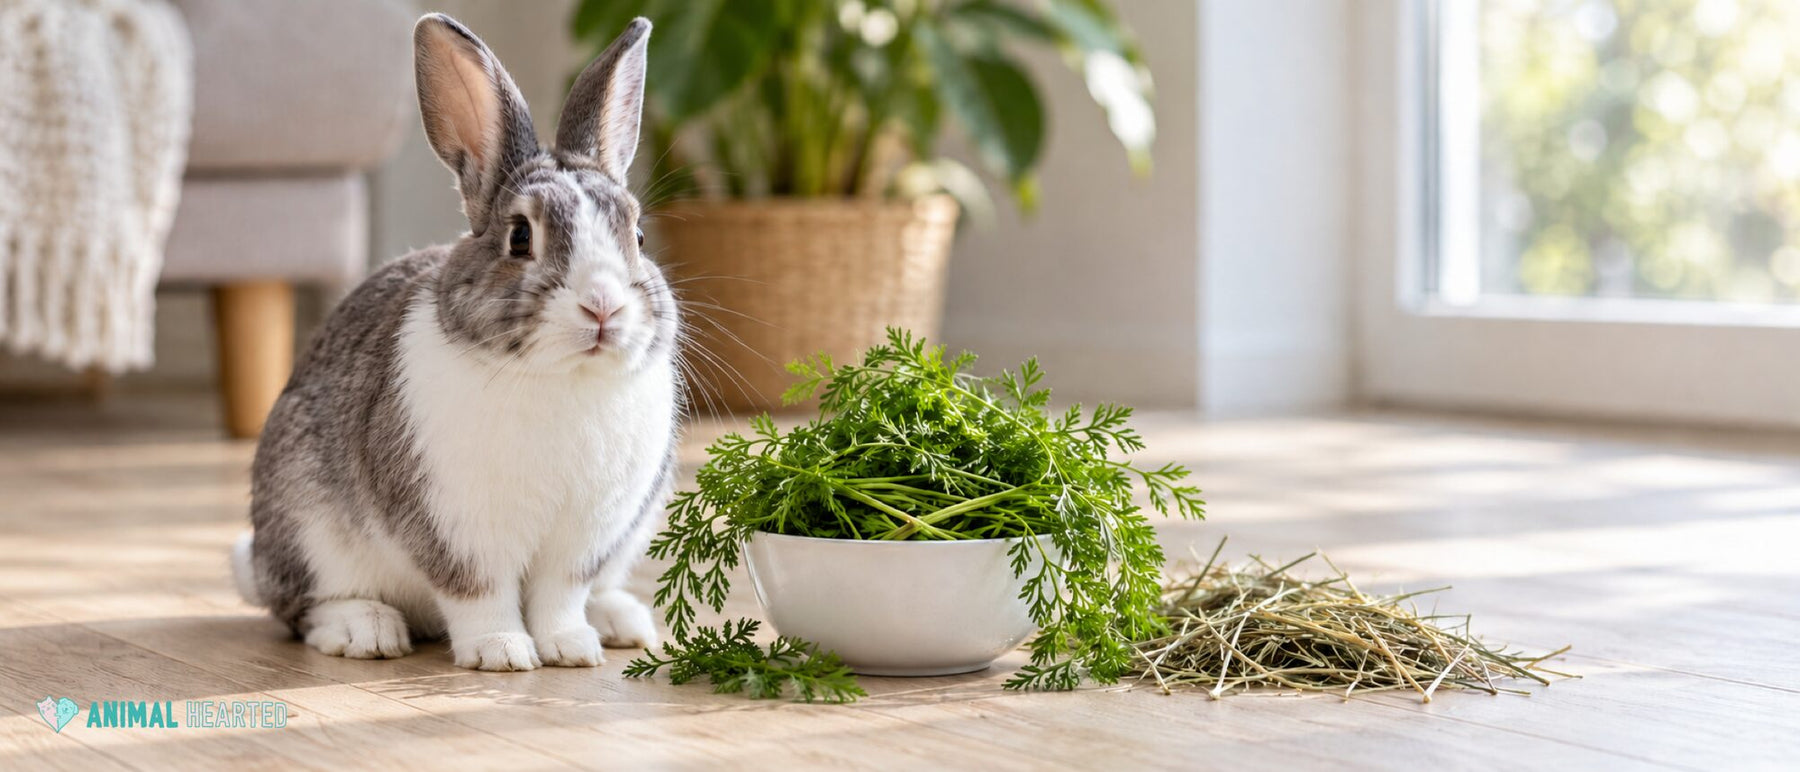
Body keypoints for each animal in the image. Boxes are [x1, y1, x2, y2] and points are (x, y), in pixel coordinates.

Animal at [227, 14, 681, 671]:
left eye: (638, 236)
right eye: (520, 237)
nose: (603, 306)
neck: (562, 377)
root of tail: (260, 563)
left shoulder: (583, 541)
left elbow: (560, 596)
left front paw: (570, 649)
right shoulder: (455, 531)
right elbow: (478, 594)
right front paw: (503, 654)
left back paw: (619, 621)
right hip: (306, 523)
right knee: (304, 607)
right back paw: (365, 630)